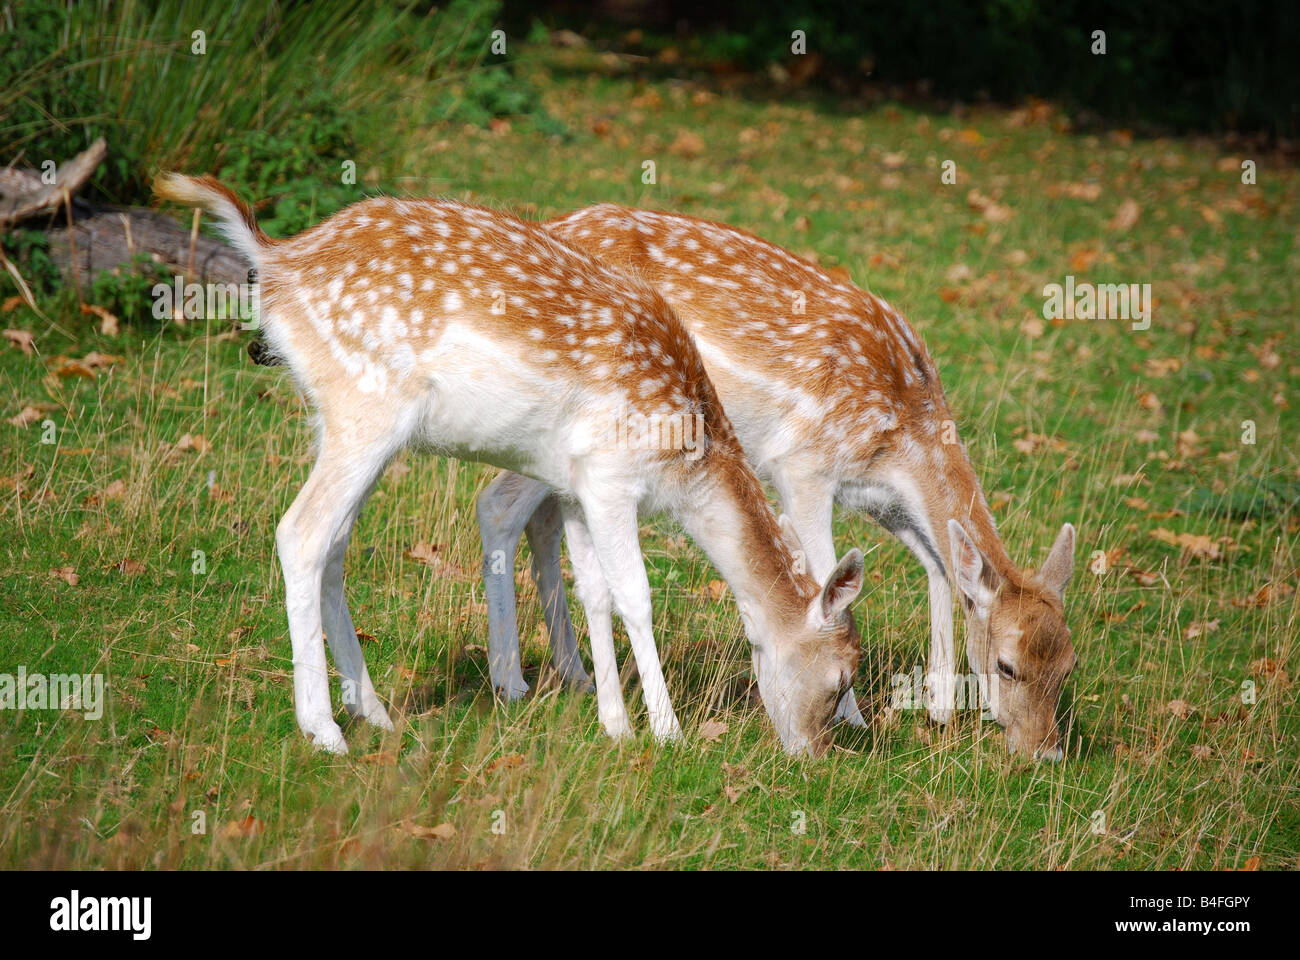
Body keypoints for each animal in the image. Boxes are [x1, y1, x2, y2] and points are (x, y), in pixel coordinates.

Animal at [152, 171, 863, 754]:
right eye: (840, 679)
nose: (812, 755)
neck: (686, 459)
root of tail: (275, 258)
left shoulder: (573, 484)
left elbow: (594, 591)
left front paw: (613, 723)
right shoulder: (610, 474)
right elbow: (635, 594)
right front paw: (666, 732)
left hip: (340, 423)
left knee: (335, 543)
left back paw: (374, 712)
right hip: (367, 409)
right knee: (300, 532)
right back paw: (325, 730)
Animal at [478, 205, 1076, 759]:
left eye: (1070, 666)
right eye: (1007, 665)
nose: (1046, 751)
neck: (902, 430)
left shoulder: (880, 497)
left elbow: (937, 564)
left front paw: (939, 708)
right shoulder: (804, 465)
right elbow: (829, 571)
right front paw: (855, 718)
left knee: (543, 517)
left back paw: (573, 675)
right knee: (497, 503)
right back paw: (514, 681)